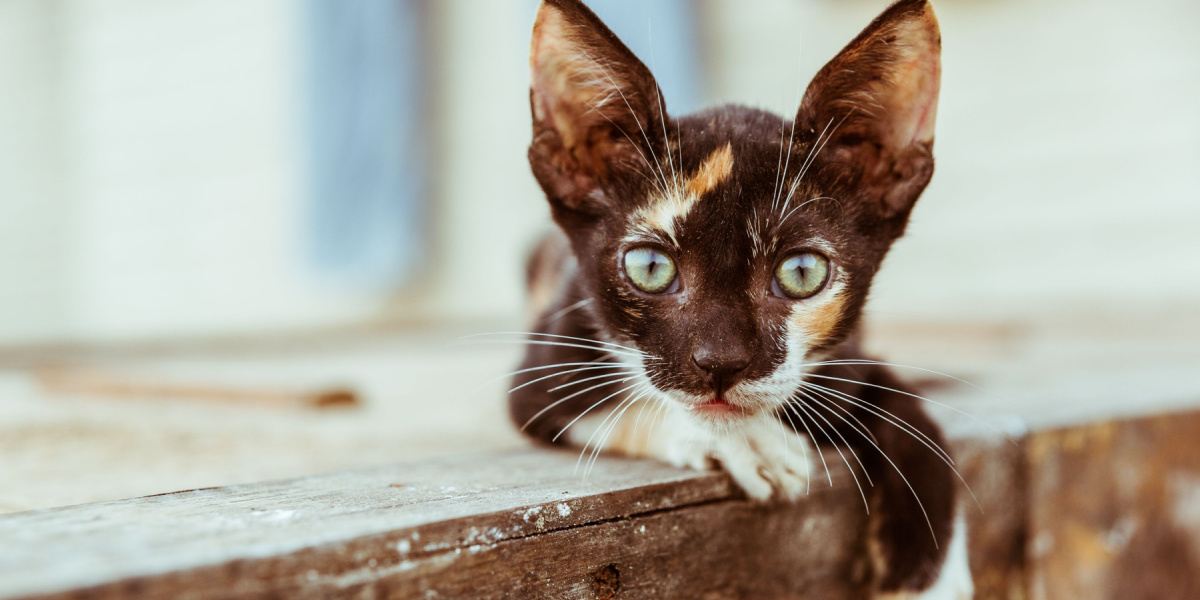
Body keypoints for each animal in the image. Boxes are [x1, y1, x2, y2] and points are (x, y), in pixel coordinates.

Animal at [511, 2, 969, 597]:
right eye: (650, 268)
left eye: (802, 272)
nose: (720, 363)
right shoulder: (542, 367)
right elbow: (622, 402)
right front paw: (749, 440)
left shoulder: (850, 360)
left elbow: (916, 422)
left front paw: (931, 570)